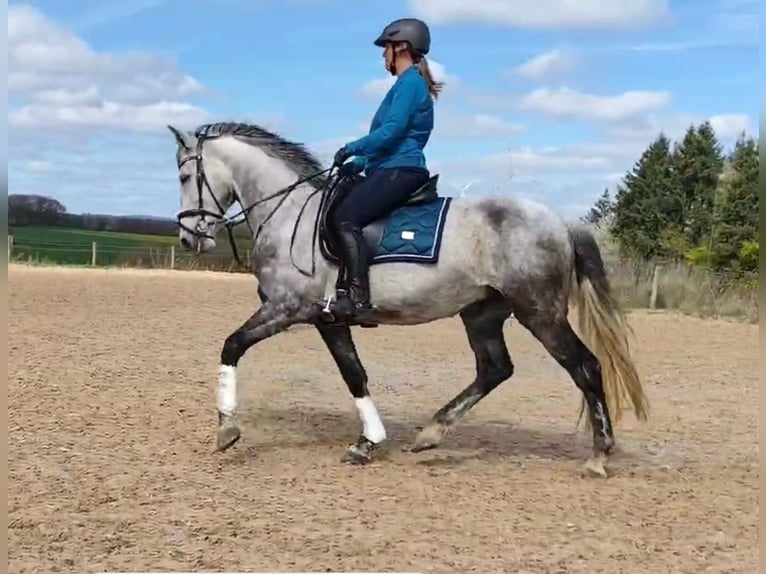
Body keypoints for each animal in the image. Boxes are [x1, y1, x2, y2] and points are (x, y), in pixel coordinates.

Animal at [167, 121, 649, 477]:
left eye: (186, 176)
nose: (190, 237)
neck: (290, 216)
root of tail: (560, 220)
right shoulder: (328, 319)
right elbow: (354, 375)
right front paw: (367, 443)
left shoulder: (287, 308)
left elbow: (232, 345)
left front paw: (227, 429)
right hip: (483, 313)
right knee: (495, 369)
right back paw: (431, 433)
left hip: (540, 312)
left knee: (584, 366)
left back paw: (598, 456)